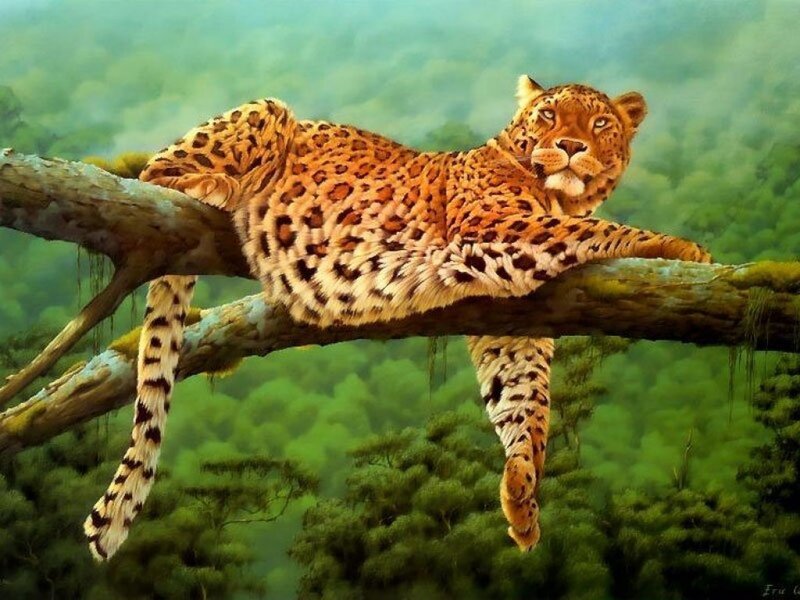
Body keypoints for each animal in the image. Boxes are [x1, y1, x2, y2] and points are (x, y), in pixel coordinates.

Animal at [84, 75, 711, 560]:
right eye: (550, 115)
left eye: (600, 124)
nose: (572, 145)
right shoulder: (496, 228)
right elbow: (598, 230)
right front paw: (684, 248)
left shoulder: (510, 320)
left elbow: (525, 402)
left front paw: (522, 493)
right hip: (265, 113)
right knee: (154, 172)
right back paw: (213, 184)